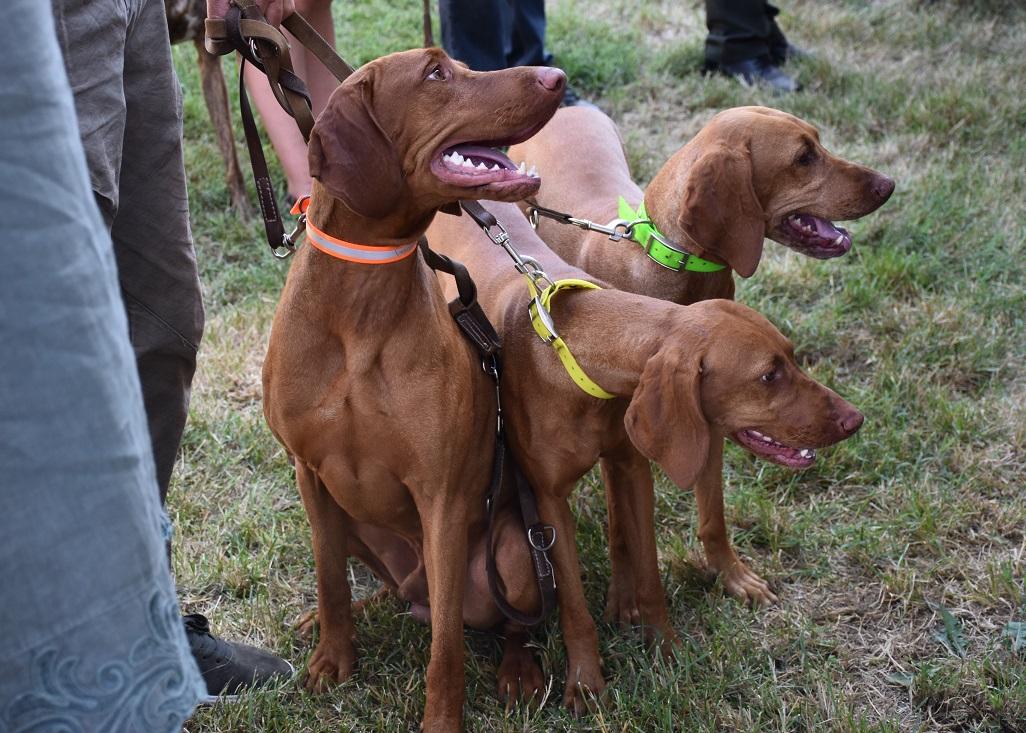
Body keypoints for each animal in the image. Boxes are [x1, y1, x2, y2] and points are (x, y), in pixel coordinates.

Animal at [262, 48, 570, 726]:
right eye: (435, 74)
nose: (557, 78)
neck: (357, 307)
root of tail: (413, 592)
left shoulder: (443, 498)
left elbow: (446, 647)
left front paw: (441, 720)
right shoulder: (308, 474)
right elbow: (328, 578)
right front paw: (332, 658)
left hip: (513, 551)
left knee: (504, 622)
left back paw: (517, 671)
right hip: (353, 524)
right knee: (373, 585)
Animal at [424, 201, 865, 706]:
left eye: (791, 356)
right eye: (768, 376)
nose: (855, 419)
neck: (577, 348)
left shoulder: (632, 469)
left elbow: (649, 573)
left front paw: (666, 648)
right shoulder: (549, 501)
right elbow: (573, 603)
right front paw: (585, 681)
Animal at [506, 101, 898, 624]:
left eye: (819, 140)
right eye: (803, 157)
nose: (887, 185)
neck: (668, 264)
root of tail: (569, 106)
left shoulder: (708, 423)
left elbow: (713, 515)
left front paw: (731, 576)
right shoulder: (624, 444)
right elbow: (621, 528)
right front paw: (623, 601)